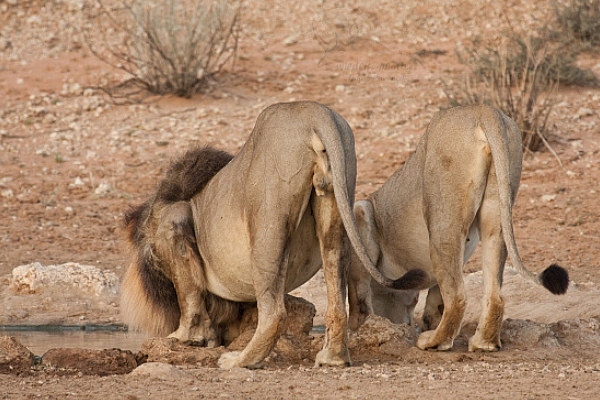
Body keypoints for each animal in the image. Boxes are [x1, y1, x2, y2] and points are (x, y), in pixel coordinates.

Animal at [120, 101, 426, 370]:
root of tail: (314, 114)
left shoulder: (172, 226)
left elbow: (189, 297)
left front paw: (187, 337)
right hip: (336, 201)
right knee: (338, 296)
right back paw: (333, 358)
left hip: (268, 221)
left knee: (274, 312)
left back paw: (241, 361)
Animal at [346, 104, 568, 352]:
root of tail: (483, 110)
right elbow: (433, 301)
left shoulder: (360, 217)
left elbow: (358, 297)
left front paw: (356, 331)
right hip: (497, 209)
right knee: (494, 294)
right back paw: (483, 343)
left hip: (443, 219)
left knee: (456, 297)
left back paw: (432, 342)